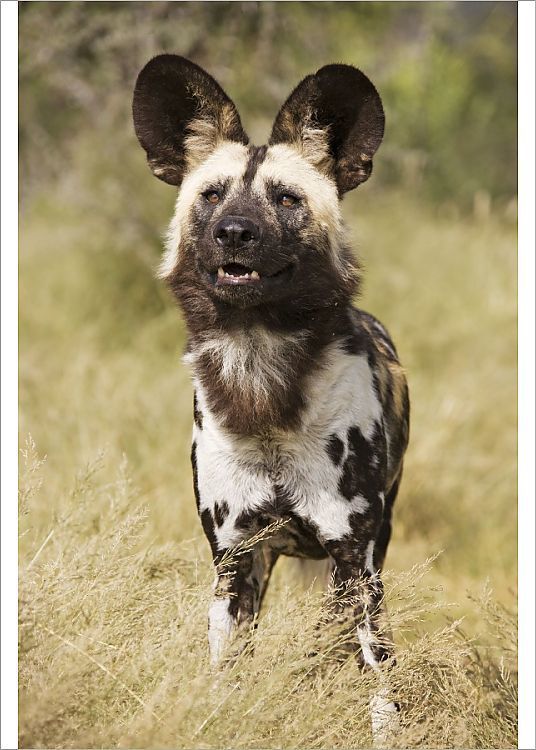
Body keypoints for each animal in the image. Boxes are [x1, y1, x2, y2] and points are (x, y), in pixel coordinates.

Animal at [134, 54, 410, 748]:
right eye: (211, 195)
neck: (263, 390)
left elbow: (378, 687)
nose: (235, 232)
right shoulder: (234, 562)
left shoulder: (355, 562)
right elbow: (225, 674)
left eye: (286, 199)